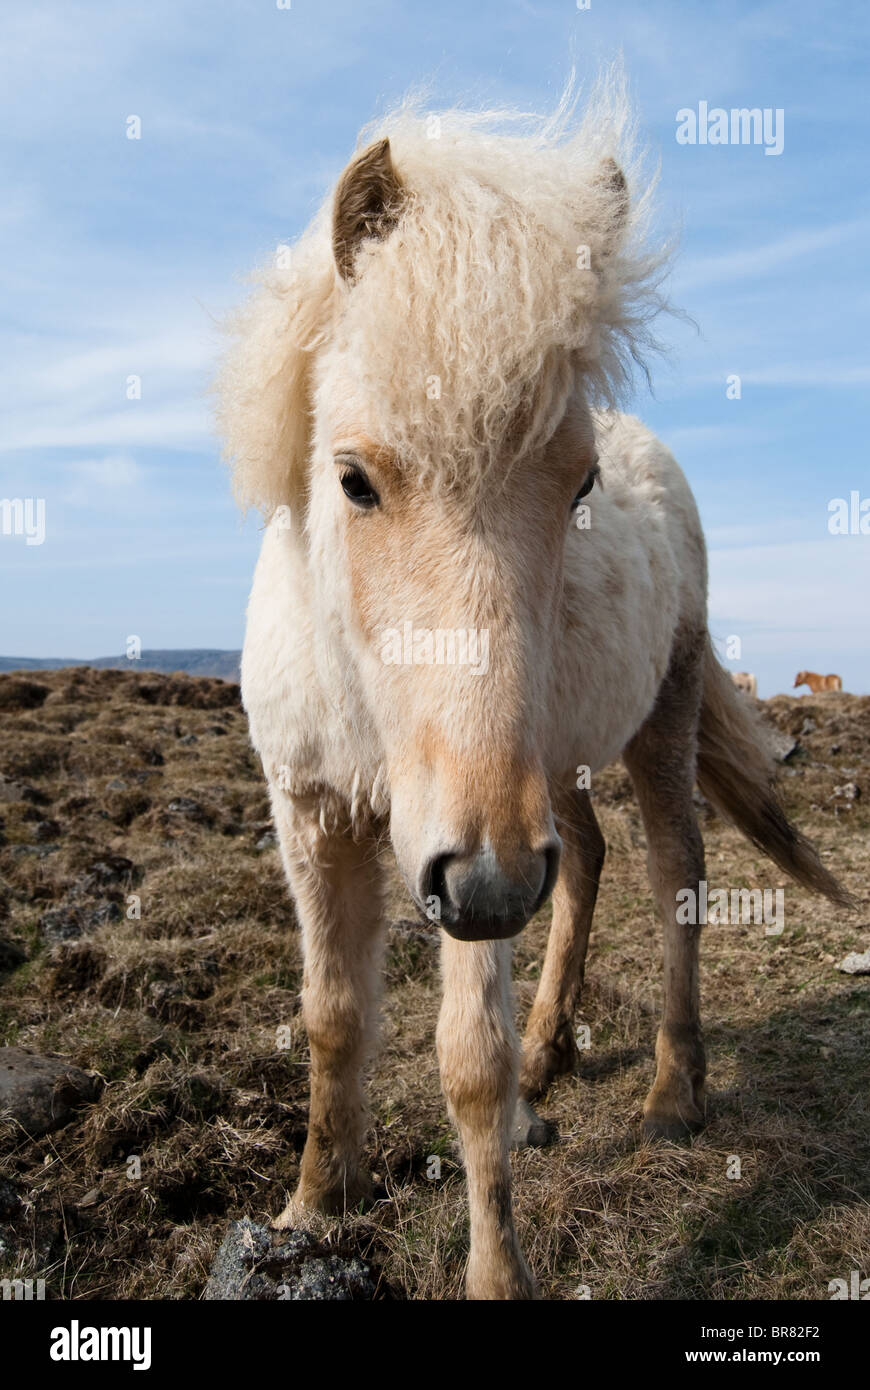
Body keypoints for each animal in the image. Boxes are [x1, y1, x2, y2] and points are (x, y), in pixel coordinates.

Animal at [216, 84, 844, 1301]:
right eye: (353, 478)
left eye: (579, 481)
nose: (490, 884)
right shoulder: (318, 813)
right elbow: (331, 1017)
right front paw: (313, 1204)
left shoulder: (471, 847)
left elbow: (467, 1062)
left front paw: (495, 1269)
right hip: (546, 775)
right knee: (588, 860)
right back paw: (553, 1053)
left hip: (653, 727)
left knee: (674, 870)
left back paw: (671, 1093)